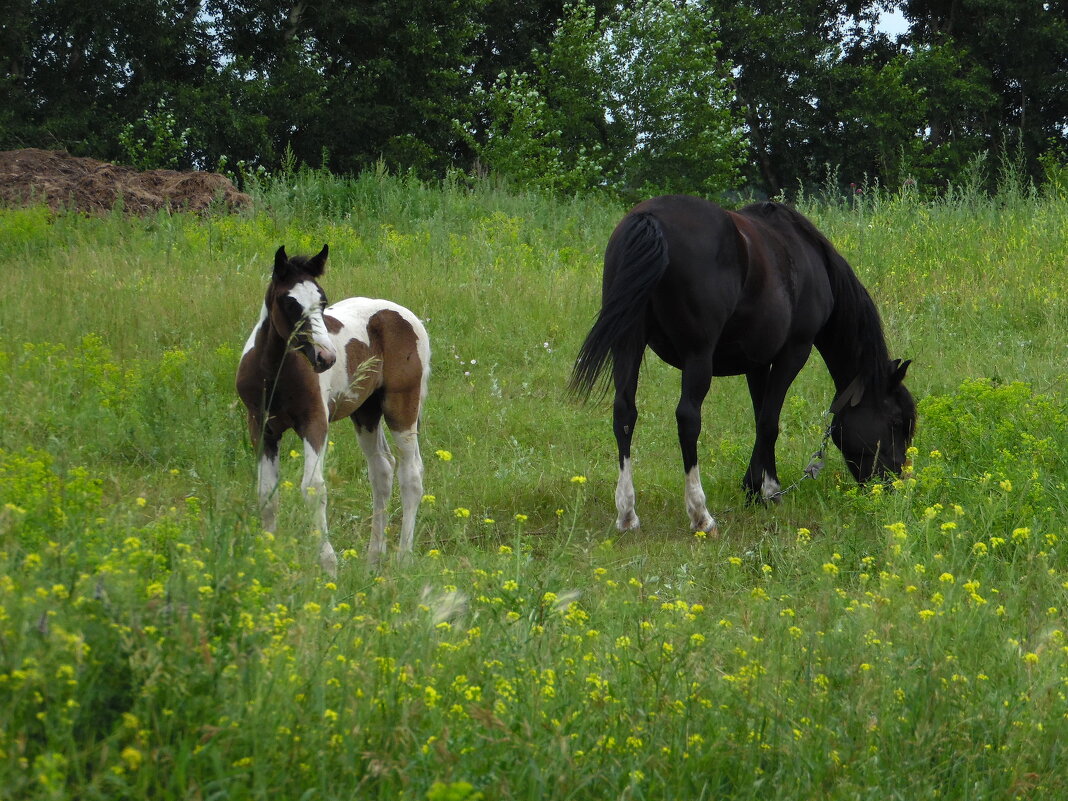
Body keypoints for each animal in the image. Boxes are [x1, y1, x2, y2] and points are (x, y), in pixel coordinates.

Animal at [238, 241, 429, 572]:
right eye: (289, 302)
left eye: (323, 301)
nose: (326, 358)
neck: (274, 372)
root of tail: (405, 314)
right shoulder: (261, 426)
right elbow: (266, 492)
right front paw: (268, 558)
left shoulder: (315, 421)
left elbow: (314, 487)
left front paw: (328, 563)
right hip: (366, 411)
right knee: (382, 470)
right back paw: (372, 558)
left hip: (401, 405)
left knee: (411, 474)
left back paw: (403, 558)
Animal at [572, 194, 914, 534]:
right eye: (896, 421)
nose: (894, 485)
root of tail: (650, 218)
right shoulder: (794, 352)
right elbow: (770, 423)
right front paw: (769, 491)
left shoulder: (757, 363)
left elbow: (760, 417)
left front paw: (755, 488)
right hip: (698, 355)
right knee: (687, 418)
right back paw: (700, 514)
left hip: (627, 344)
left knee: (624, 413)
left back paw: (627, 514)